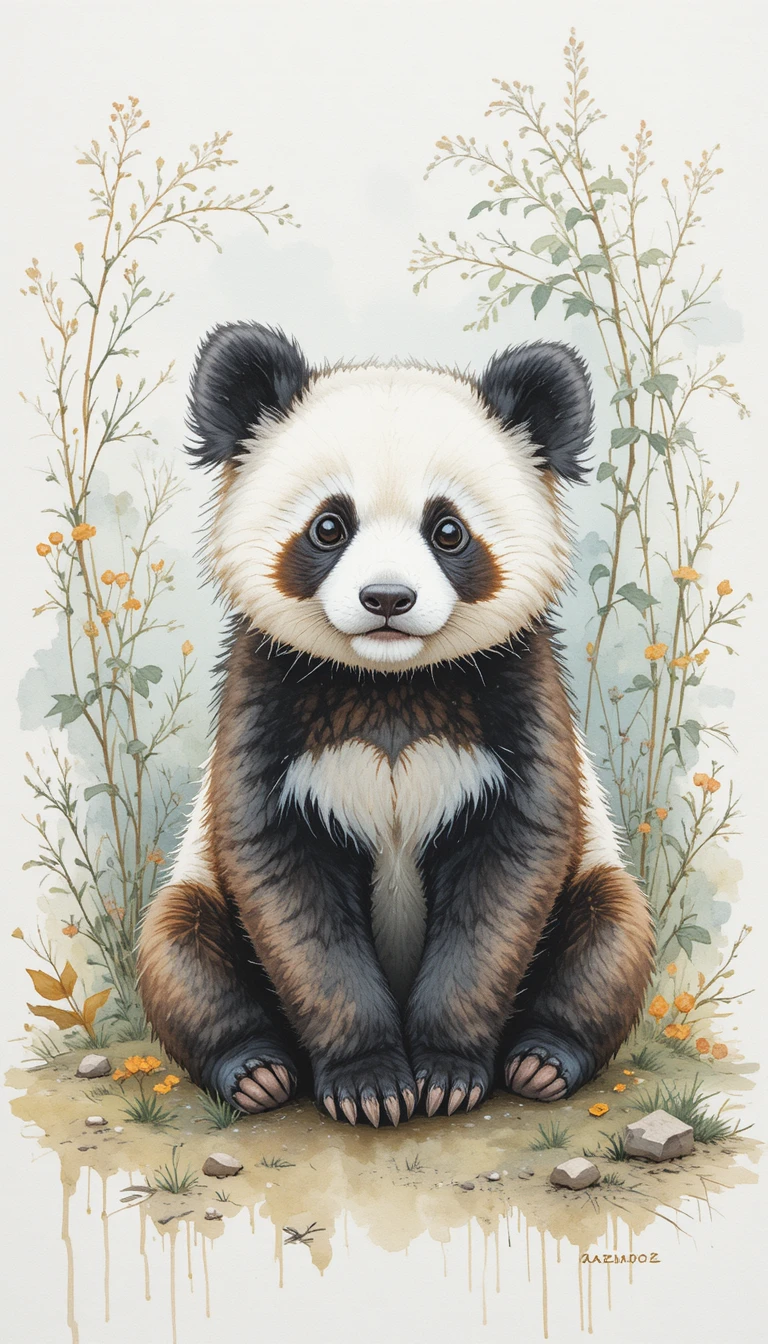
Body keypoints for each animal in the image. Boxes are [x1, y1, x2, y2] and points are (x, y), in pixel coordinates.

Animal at [137, 322, 655, 1127]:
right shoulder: (268, 705)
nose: (387, 598)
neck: (389, 682)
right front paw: (371, 1086)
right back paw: (256, 1071)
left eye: (448, 530)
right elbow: (287, 885)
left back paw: (542, 1060)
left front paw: (443, 1076)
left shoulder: (517, 700)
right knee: (179, 946)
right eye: (329, 525)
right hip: (197, 890)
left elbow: (507, 874)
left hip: (597, 876)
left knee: (612, 931)